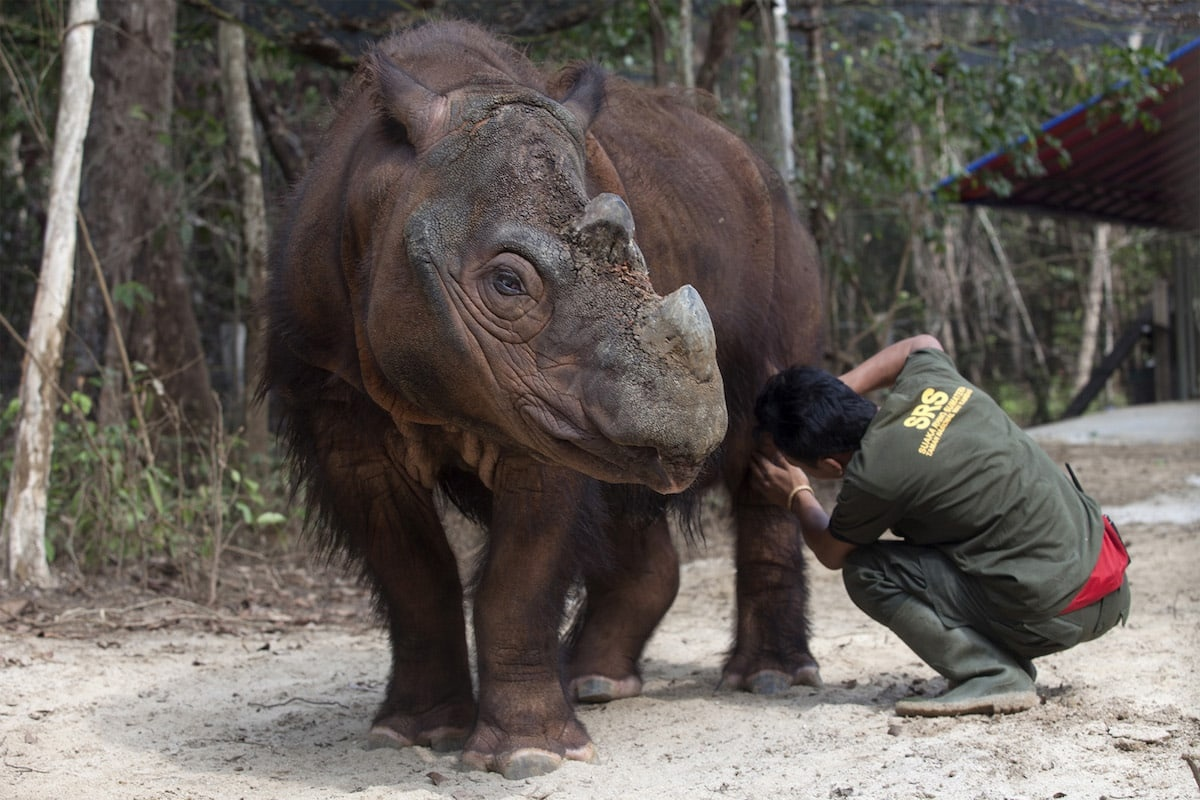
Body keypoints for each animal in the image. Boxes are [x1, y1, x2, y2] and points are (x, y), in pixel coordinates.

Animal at [262, 20, 825, 782]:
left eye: (643, 263)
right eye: (506, 283)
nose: (690, 421)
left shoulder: (545, 411)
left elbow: (520, 579)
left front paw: (532, 755)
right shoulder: (341, 399)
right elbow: (411, 572)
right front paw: (412, 734)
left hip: (784, 238)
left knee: (765, 446)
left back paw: (765, 681)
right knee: (629, 489)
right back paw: (596, 682)